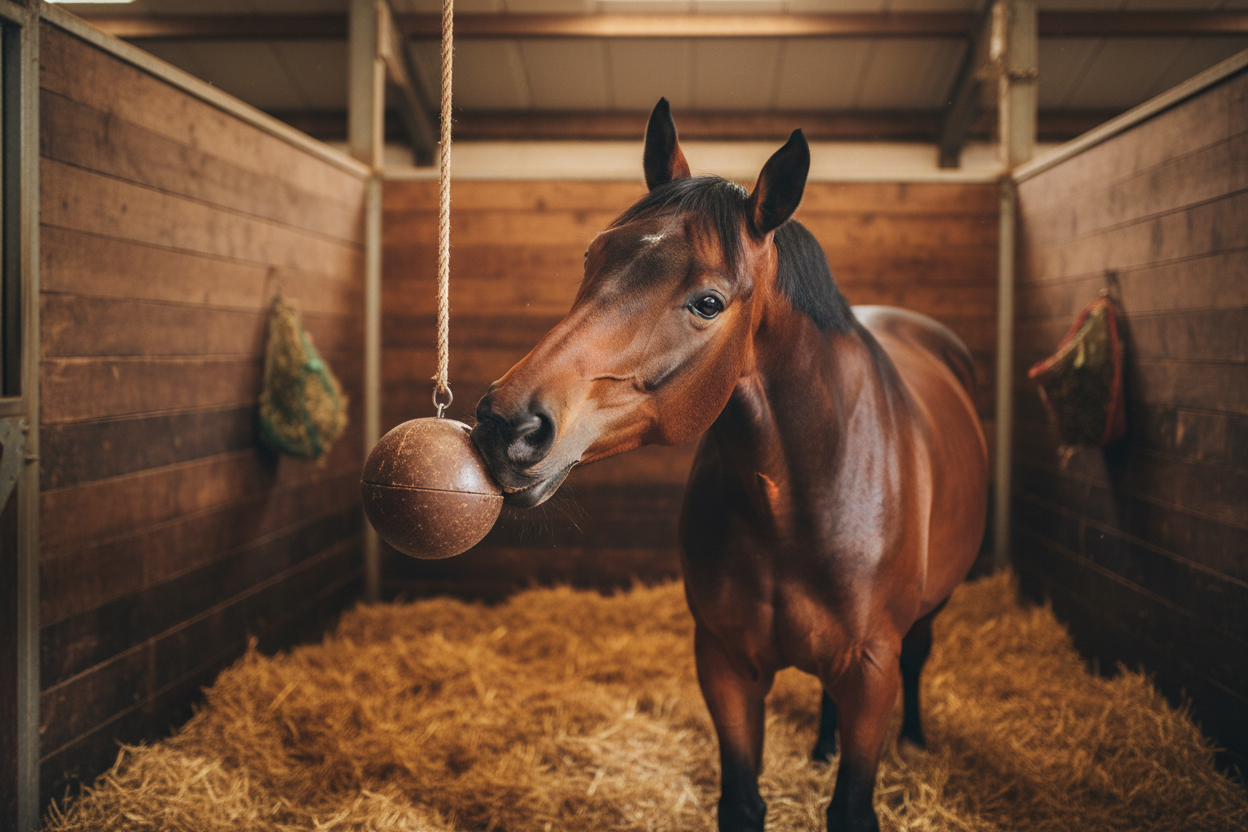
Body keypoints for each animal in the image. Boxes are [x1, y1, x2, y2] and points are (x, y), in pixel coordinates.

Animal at [470, 98, 989, 832]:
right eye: (592, 255)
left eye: (708, 303)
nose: (505, 427)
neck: (797, 504)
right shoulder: (724, 664)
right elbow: (743, 802)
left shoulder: (870, 670)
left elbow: (851, 805)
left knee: (918, 656)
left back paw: (913, 741)